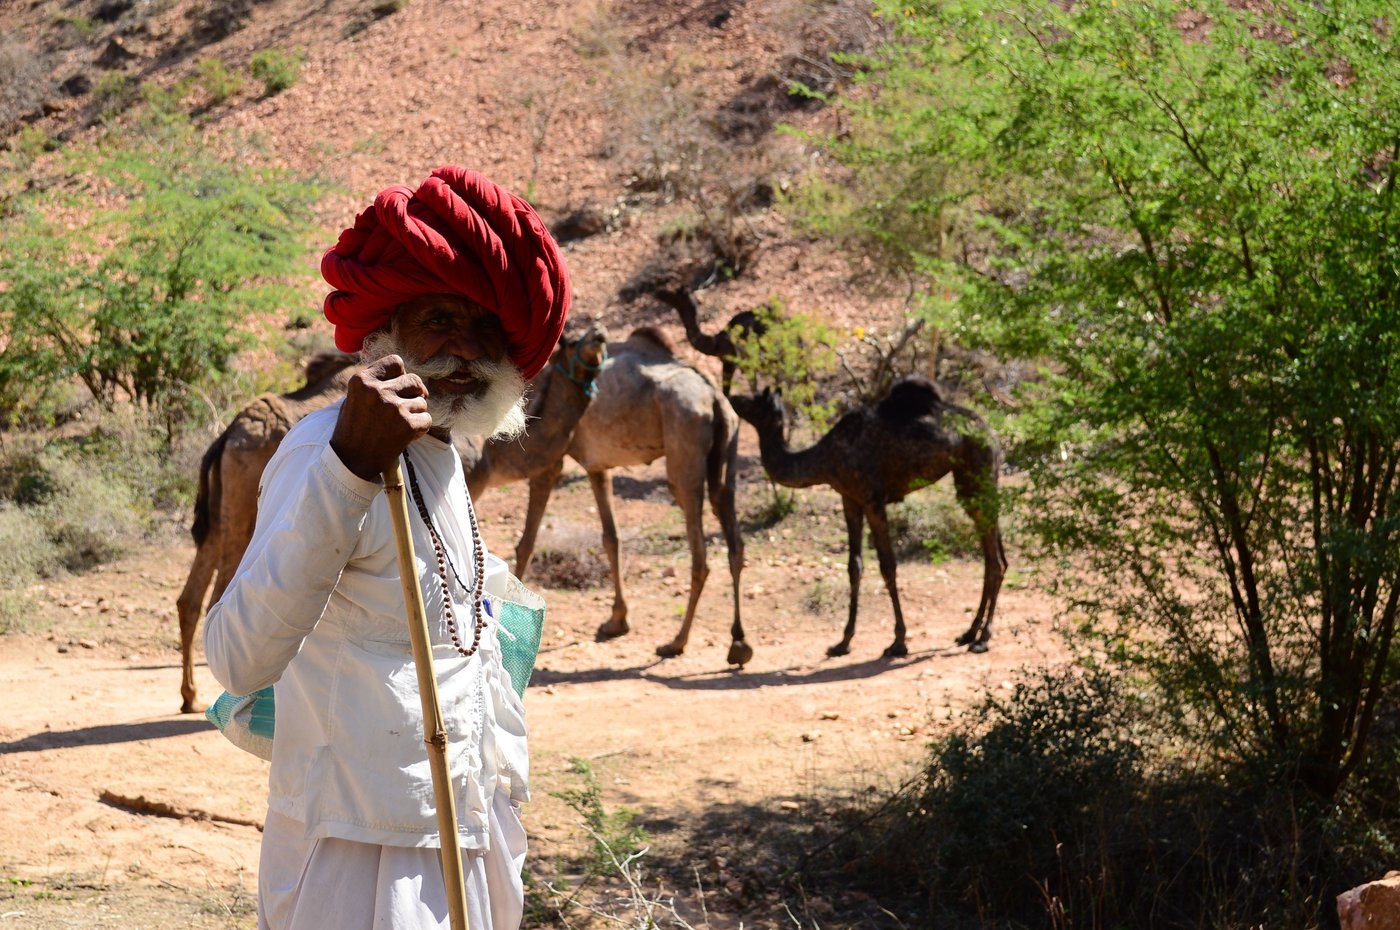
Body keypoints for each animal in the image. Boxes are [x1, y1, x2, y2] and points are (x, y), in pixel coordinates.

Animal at [169, 330, 607, 714]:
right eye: (572, 339)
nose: (600, 339)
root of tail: (226, 434)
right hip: (246, 504)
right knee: (225, 601)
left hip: (222, 510)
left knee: (190, 596)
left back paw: (190, 696)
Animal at [509, 330, 756, 663]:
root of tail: (715, 398)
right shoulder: (597, 465)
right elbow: (611, 538)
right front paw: (617, 620)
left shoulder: (549, 461)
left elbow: (527, 542)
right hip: (728, 447)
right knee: (733, 535)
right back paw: (738, 643)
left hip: (684, 449)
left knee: (699, 552)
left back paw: (676, 642)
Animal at [722, 375, 1008, 658]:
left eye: (754, 399)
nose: (731, 397)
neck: (826, 457)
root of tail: (992, 433)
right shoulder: (850, 499)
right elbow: (854, 566)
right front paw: (843, 642)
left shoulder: (872, 500)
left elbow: (887, 566)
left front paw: (898, 642)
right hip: (971, 483)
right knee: (994, 556)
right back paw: (969, 633)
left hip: (978, 471)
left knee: (994, 560)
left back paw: (982, 638)